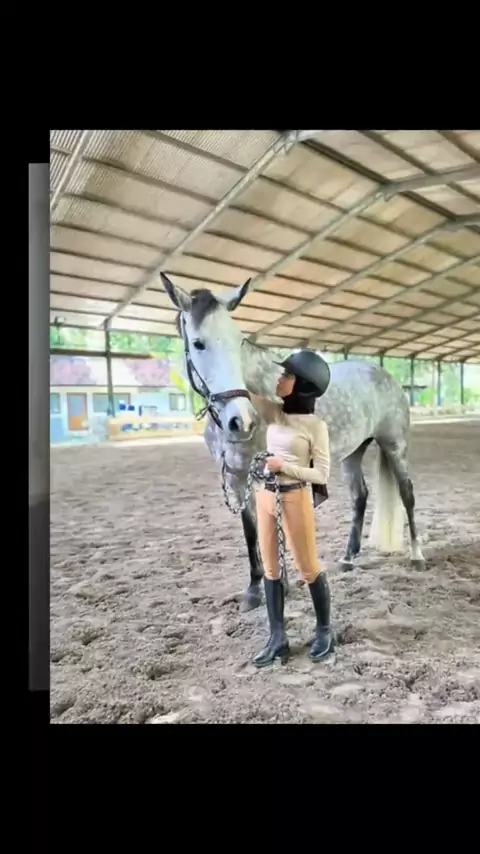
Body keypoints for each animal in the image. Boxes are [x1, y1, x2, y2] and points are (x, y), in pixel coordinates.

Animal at [161, 272, 426, 612]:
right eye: (198, 344)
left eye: (238, 342)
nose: (241, 421)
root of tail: (382, 372)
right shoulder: (236, 477)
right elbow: (251, 531)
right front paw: (254, 590)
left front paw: (282, 585)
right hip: (352, 452)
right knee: (360, 496)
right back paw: (348, 558)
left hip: (395, 446)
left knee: (407, 494)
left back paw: (417, 556)